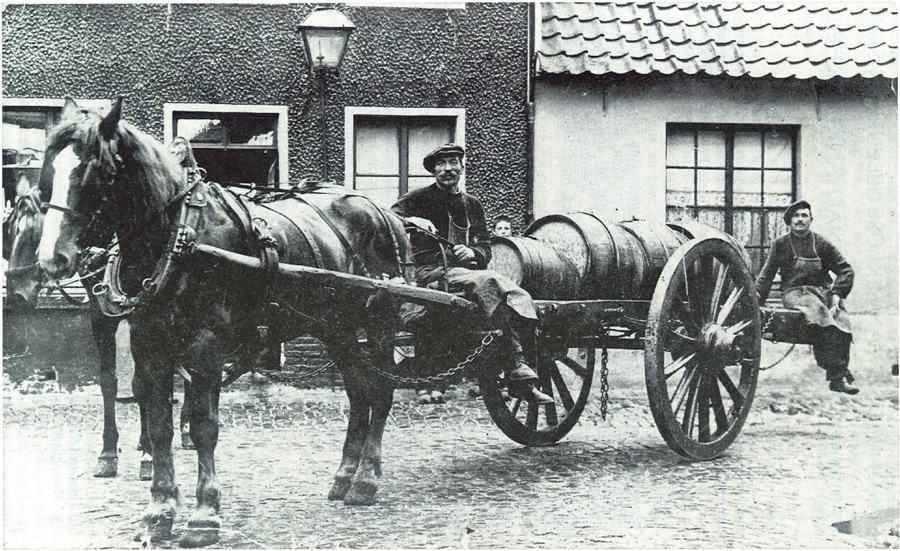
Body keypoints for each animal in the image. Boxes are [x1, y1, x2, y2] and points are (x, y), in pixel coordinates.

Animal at [34, 98, 414, 548]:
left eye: (97, 170)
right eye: (48, 170)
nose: (51, 258)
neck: (179, 236)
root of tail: (384, 212)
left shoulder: (205, 346)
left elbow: (203, 427)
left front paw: (204, 516)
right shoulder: (149, 345)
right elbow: (158, 426)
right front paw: (158, 512)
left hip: (378, 321)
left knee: (382, 390)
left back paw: (366, 480)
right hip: (334, 326)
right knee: (358, 391)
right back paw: (343, 477)